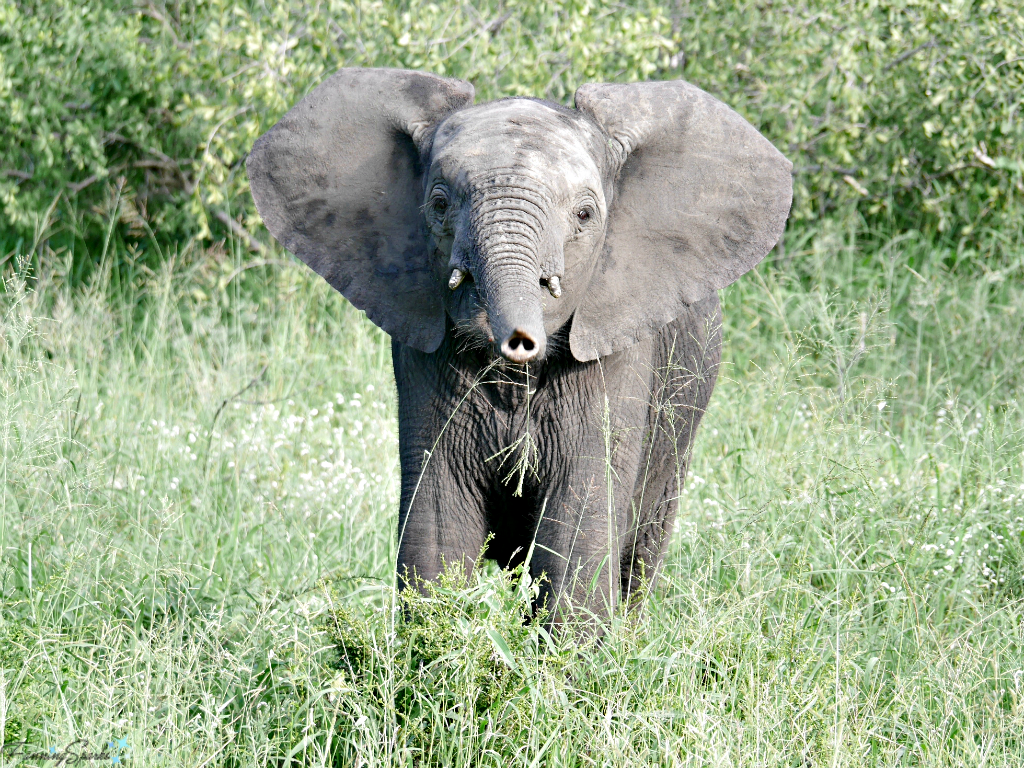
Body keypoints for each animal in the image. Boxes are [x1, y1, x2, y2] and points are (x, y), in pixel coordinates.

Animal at [247, 69, 790, 626]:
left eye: (585, 214)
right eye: (439, 204)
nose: (518, 341)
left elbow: (580, 520)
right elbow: (438, 522)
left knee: (640, 553)